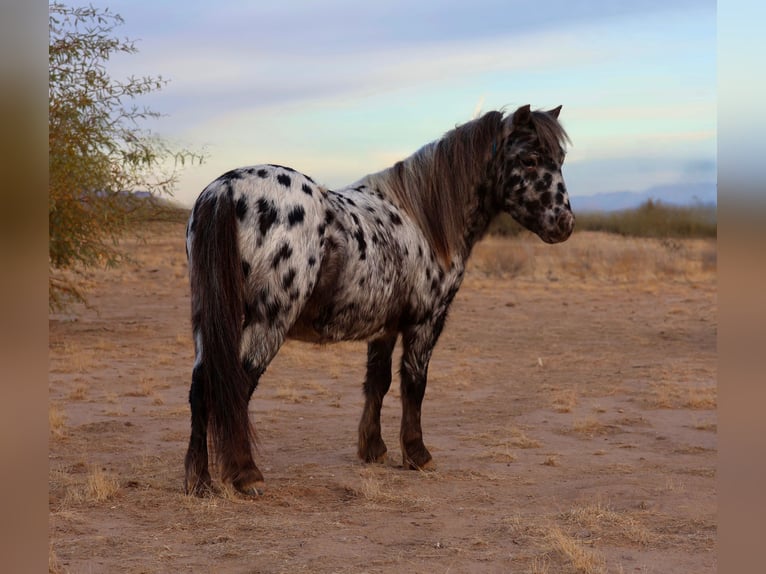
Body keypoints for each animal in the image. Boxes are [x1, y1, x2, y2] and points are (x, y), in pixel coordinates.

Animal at [183, 106, 572, 498]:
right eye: (529, 159)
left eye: (561, 159)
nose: (564, 224)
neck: (422, 219)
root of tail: (225, 190)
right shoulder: (426, 321)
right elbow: (414, 383)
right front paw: (417, 454)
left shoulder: (384, 327)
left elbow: (378, 381)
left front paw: (373, 448)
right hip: (269, 320)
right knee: (234, 385)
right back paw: (246, 475)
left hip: (208, 318)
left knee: (201, 386)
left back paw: (199, 481)